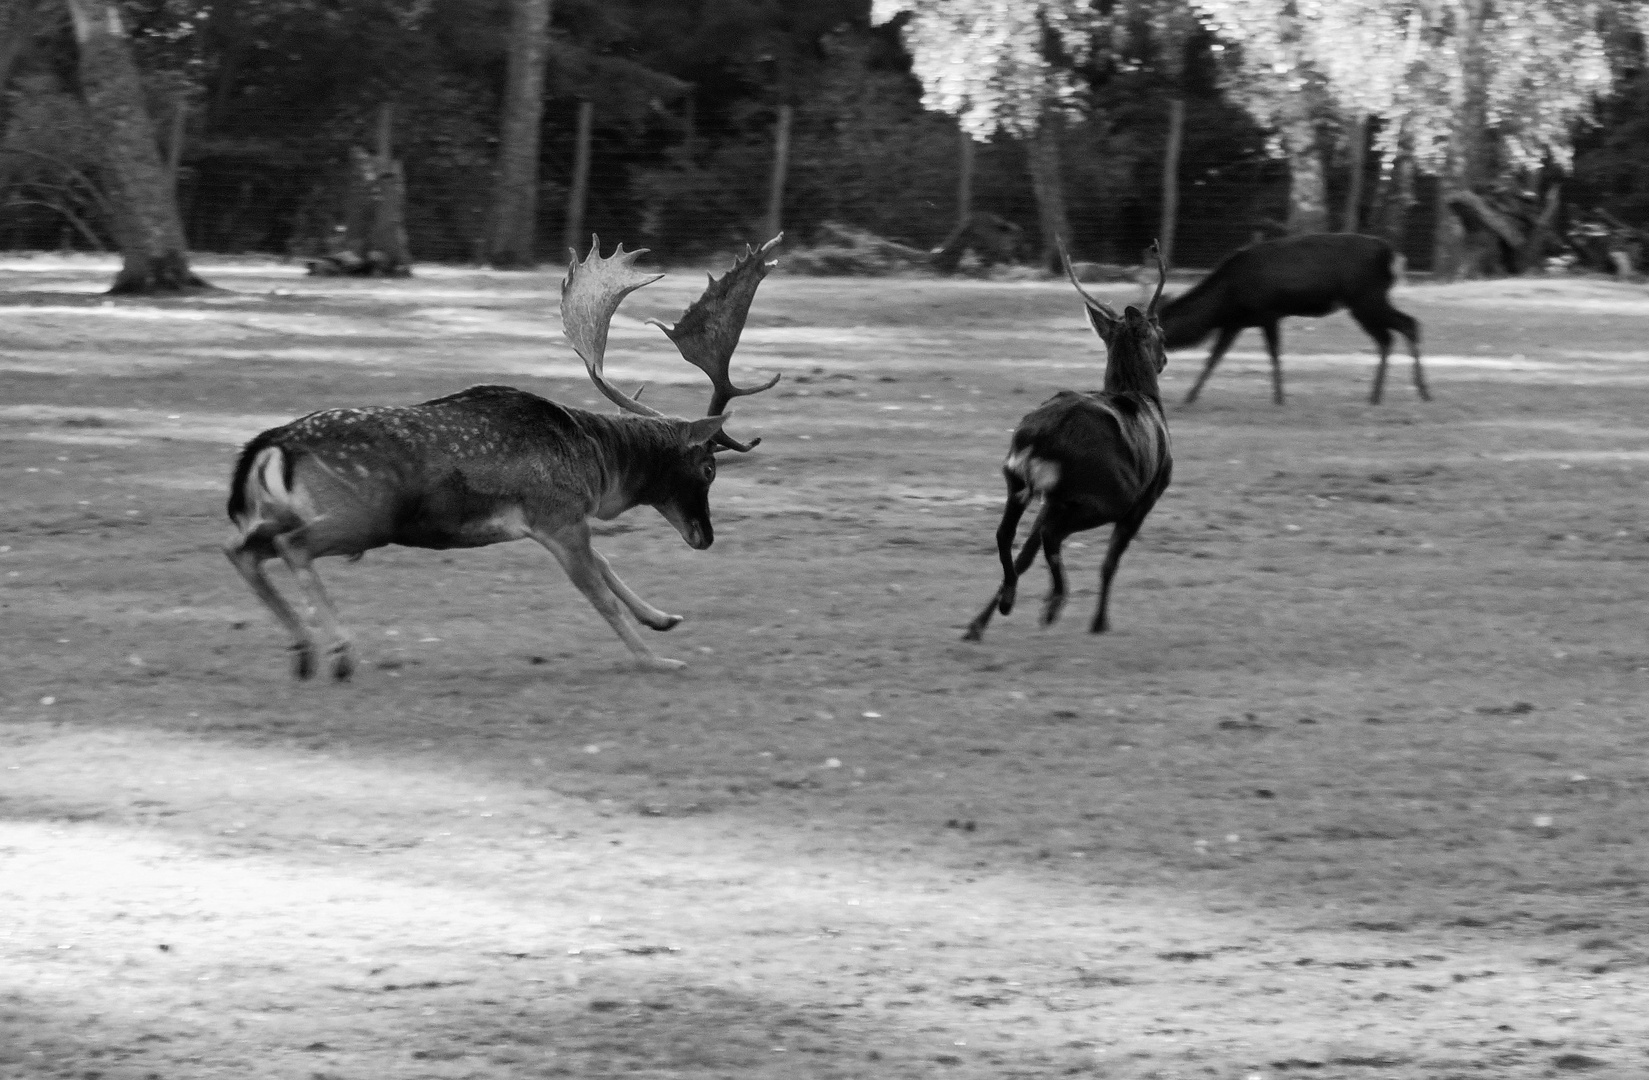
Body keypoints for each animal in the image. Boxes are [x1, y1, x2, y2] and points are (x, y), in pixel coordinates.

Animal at [225, 235, 784, 679]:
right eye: (708, 469)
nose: (705, 537)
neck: (596, 465)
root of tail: (273, 443)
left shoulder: (564, 522)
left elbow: (604, 564)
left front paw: (664, 618)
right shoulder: (556, 516)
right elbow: (598, 595)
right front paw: (656, 659)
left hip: (282, 512)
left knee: (242, 550)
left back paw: (303, 650)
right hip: (360, 514)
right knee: (290, 547)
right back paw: (339, 652)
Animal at [963, 240, 1180, 643]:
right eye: (1162, 333)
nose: (1164, 360)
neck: (1144, 399)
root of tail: (1042, 438)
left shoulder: (1051, 498)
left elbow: (1026, 553)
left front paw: (976, 624)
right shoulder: (1149, 495)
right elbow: (1111, 560)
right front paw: (1100, 622)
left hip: (1022, 481)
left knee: (1007, 535)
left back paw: (1005, 605)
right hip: (1104, 492)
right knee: (1052, 535)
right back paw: (1053, 604)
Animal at [1160, 232, 1431, 405]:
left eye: (1161, 325)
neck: (1226, 300)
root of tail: (1393, 255)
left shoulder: (1267, 312)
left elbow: (1274, 354)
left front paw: (1279, 398)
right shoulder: (1235, 322)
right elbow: (1214, 358)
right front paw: (1189, 396)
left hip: (1366, 297)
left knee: (1401, 328)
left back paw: (1412, 391)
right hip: (1368, 300)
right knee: (1398, 330)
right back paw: (1391, 394)